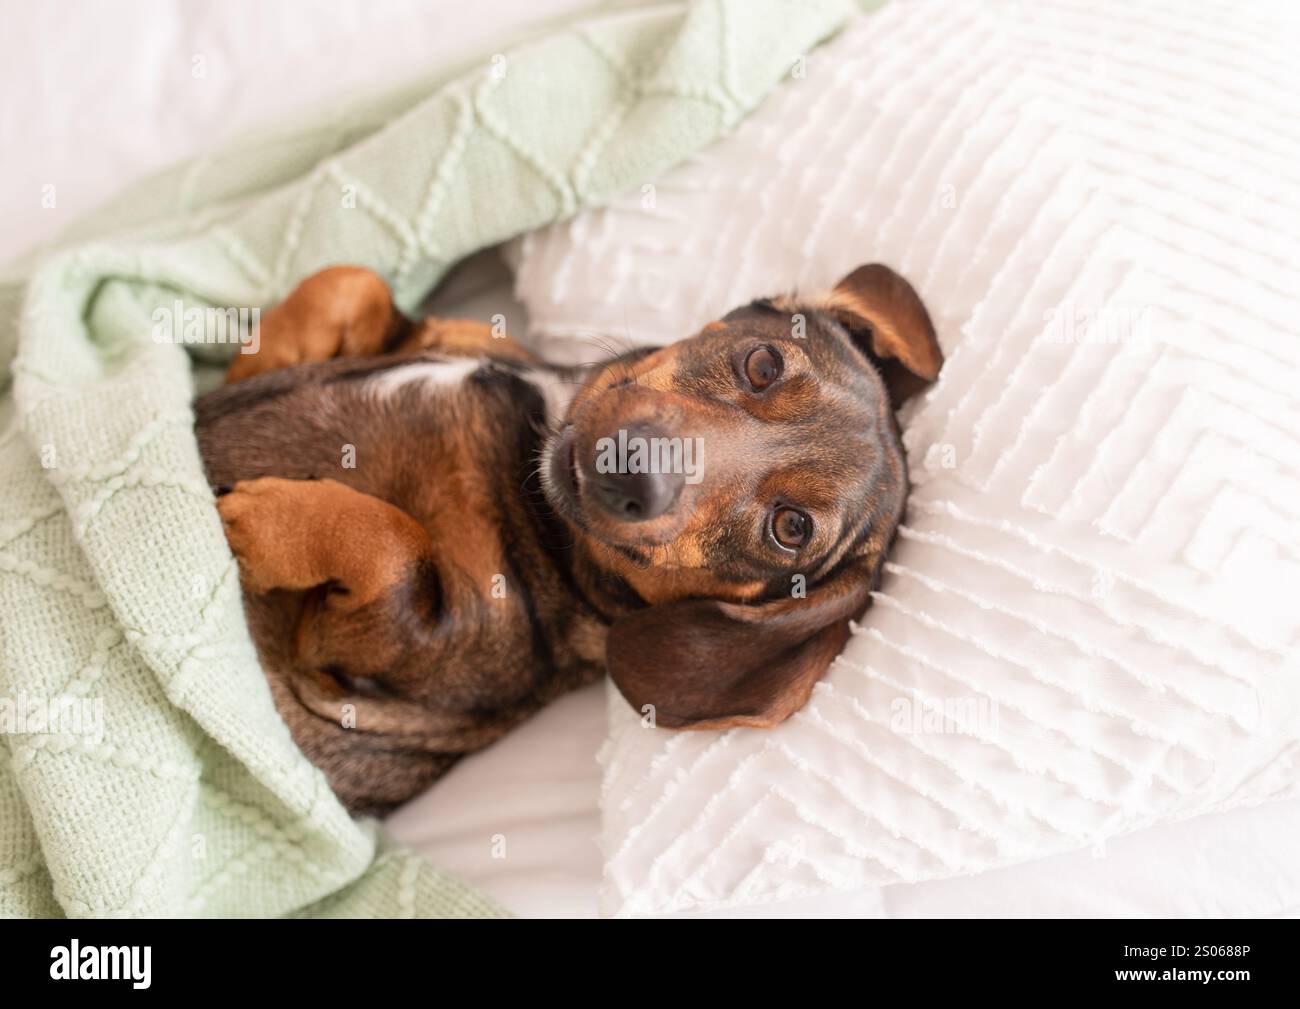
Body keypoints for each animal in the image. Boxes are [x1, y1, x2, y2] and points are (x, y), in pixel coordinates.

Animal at [195, 260, 946, 811]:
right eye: (764, 364)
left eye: (790, 528)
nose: (634, 467)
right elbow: (352, 282)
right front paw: (234, 368)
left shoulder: (392, 652)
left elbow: (395, 546)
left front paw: (252, 521)